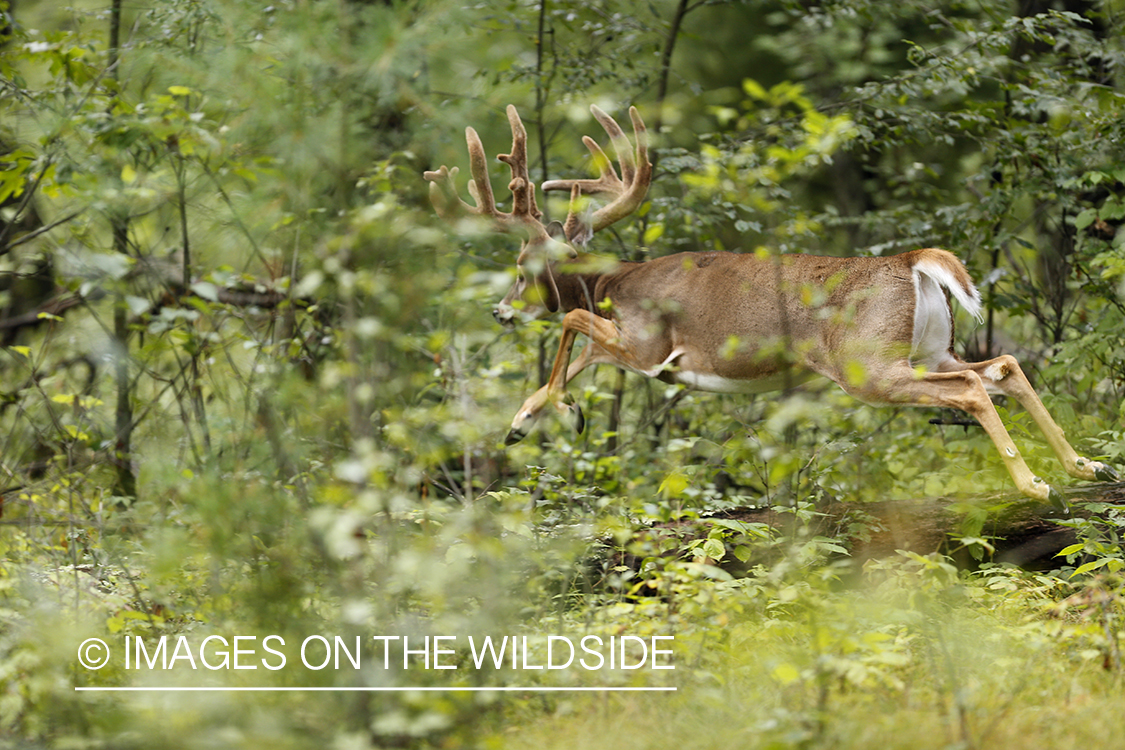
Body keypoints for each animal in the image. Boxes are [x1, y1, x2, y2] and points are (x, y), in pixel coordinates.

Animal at [423, 102, 1116, 508]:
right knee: (1002, 366)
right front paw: (531, 417)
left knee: (971, 389)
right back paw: (1088, 465)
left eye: (522, 269)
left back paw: (1035, 483)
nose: (500, 312)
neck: (615, 283)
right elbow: (583, 351)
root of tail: (909, 262)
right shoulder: (636, 349)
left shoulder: (651, 344)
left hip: (867, 365)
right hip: (929, 348)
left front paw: (552, 413)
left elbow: (571, 321)